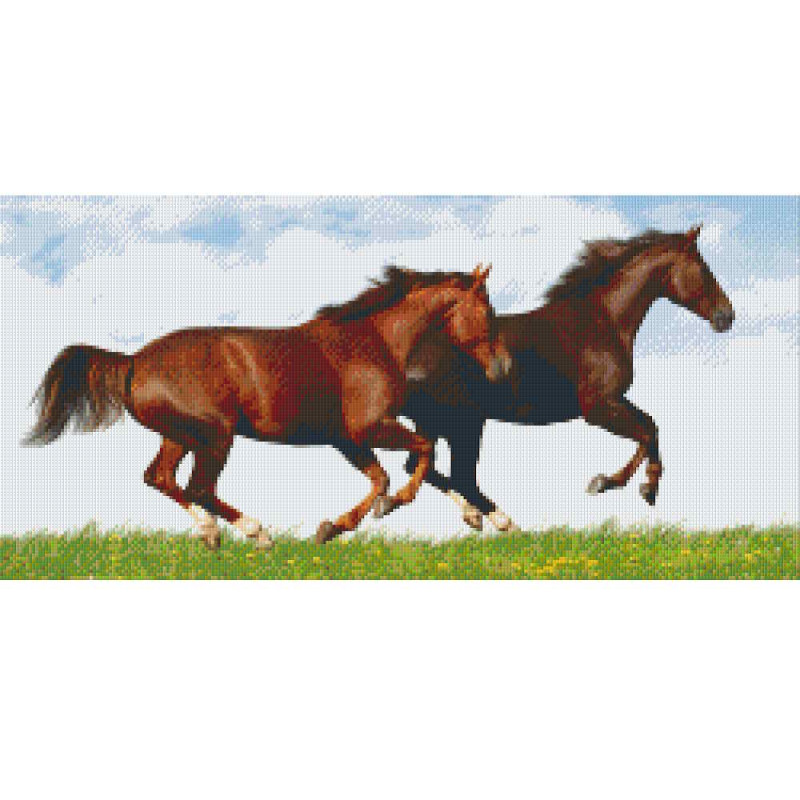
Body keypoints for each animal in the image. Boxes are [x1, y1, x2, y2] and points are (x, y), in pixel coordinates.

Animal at [23, 264, 512, 548]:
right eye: (488, 309)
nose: (504, 366)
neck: (375, 341)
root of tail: (134, 360)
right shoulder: (368, 429)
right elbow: (419, 456)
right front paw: (389, 508)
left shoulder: (345, 439)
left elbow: (384, 476)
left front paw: (334, 527)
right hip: (215, 436)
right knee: (198, 487)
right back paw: (256, 533)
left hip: (180, 435)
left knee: (160, 478)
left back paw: (211, 533)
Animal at [401, 226, 736, 531]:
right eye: (703, 269)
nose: (727, 316)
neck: (602, 321)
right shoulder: (597, 409)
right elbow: (645, 434)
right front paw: (608, 483)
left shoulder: (614, 399)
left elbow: (652, 426)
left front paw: (644, 488)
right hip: (461, 422)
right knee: (450, 473)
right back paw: (501, 522)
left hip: (441, 423)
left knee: (421, 466)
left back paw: (478, 517)